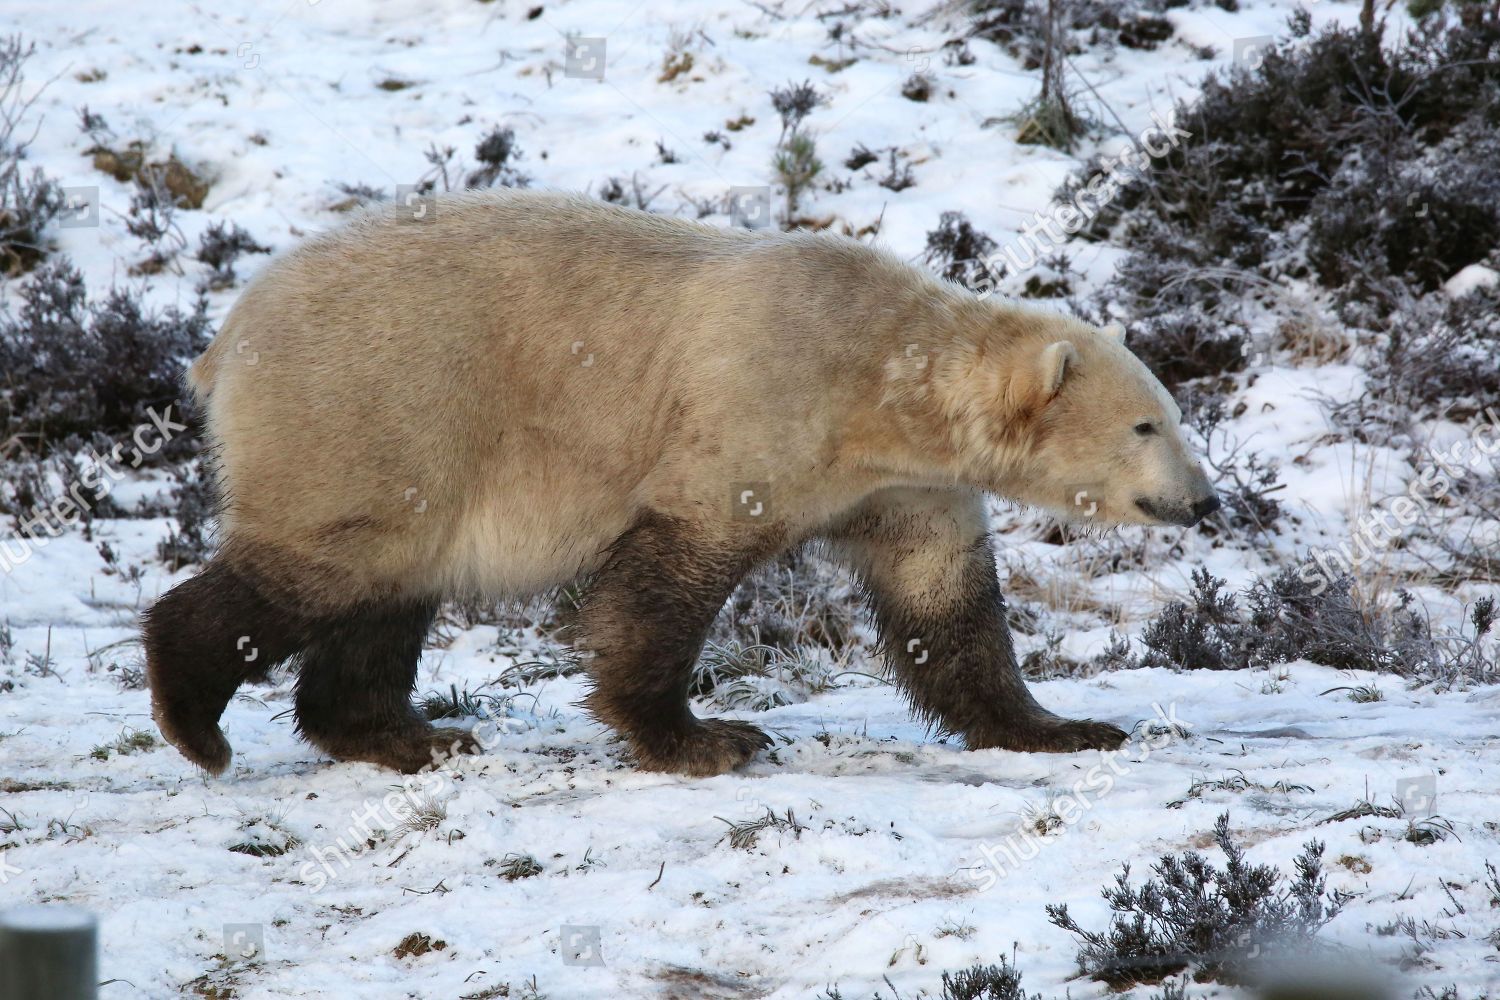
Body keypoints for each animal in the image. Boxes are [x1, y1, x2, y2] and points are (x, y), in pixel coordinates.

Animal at [143, 191, 1218, 779]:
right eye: (1147, 424)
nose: (1206, 500)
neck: (879, 372)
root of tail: (226, 340)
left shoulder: (904, 485)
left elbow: (943, 605)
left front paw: (1067, 727)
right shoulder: (759, 403)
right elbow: (668, 578)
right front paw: (706, 738)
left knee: (390, 583)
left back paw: (408, 736)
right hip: (376, 404)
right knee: (330, 559)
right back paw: (196, 721)